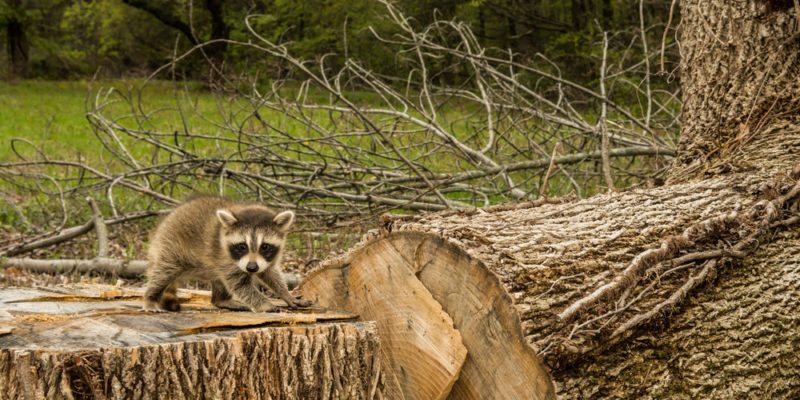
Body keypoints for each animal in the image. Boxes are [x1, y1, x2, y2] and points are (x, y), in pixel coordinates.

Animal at [142, 196, 310, 312]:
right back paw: (150, 298)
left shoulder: (266, 260)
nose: (252, 268)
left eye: (265, 246)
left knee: (218, 281)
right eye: (242, 246)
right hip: (170, 247)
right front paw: (264, 304)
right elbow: (240, 285)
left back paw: (222, 300)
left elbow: (270, 274)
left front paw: (285, 294)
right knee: (163, 273)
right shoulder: (225, 258)